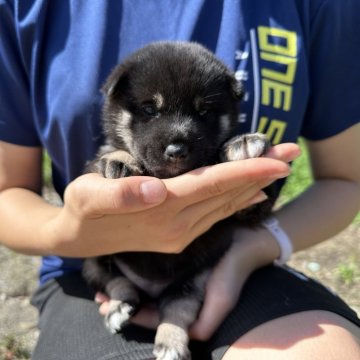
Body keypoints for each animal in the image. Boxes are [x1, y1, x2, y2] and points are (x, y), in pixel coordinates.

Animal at [83, 42, 272, 360]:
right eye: (150, 109)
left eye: (204, 111)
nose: (176, 150)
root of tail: (151, 289)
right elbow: (105, 154)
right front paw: (120, 159)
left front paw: (240, 143)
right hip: (93, 258)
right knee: (114, 280)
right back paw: (121, 306)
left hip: (192, 280)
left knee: (177, 309)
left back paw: (170, 342)